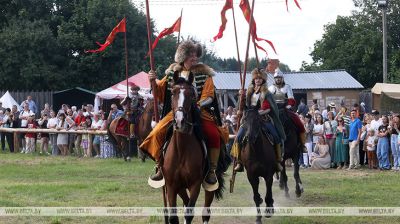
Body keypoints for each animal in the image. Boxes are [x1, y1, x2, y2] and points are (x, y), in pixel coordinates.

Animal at [162, 74, 225, 223]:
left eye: (191, 94)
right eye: (173, 93)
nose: (180, 121)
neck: (181, 150)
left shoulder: (195, 184)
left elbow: (189, 213)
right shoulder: (172, 185)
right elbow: (174, 217)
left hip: (209, 184)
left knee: (205, 212)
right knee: (186, 202)